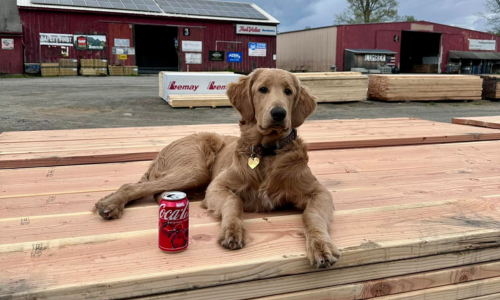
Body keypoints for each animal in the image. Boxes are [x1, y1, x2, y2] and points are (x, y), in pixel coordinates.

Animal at [94, 69, 340, 268]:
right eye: (263, 89)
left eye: (288, 91)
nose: (279, 113)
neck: (267, 152)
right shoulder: (217, 185)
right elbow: (234, 201)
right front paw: (232, 230)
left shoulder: (319, 192)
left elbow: (312, 215)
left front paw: (321, 245)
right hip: (195, 169)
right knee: (134, 186)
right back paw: (110, 204)